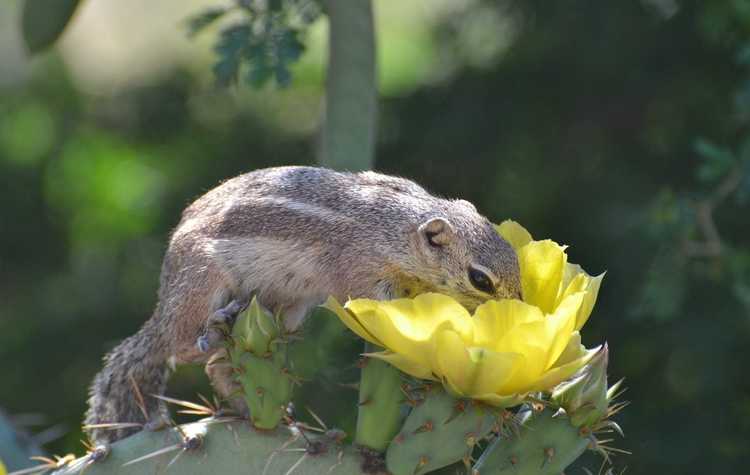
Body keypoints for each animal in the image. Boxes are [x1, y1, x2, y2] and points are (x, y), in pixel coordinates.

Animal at [83, 166, 524, 446]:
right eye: (480, 279)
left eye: (516, 262)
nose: (518, 308)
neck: (394, 228)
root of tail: (164, 300)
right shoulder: (358, 268)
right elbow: (370, 301)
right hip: (201, 282)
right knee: (181, 344)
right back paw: (208, 332)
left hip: (287, 310)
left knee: (220, 368)